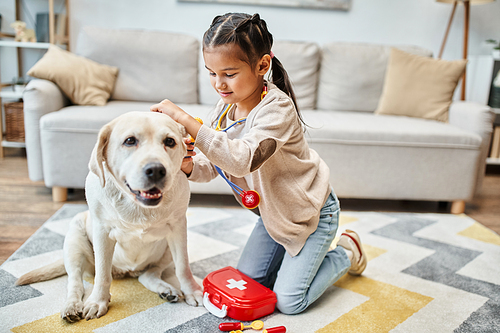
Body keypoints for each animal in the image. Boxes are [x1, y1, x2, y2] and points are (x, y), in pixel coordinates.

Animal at [16, 112, 203, 322]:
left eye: (170, 141)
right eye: (130, 141)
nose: (156, 170)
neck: (137, 204)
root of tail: (128, 271)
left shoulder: (178, 228)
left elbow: (183, 267)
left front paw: (192, 291)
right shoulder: (102, 232)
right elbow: (102, 274)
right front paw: (98, 301)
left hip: (166, 250)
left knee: (148, 274)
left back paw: (165, 289)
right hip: (74, 239)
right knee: (75, 281)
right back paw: (72, 306)